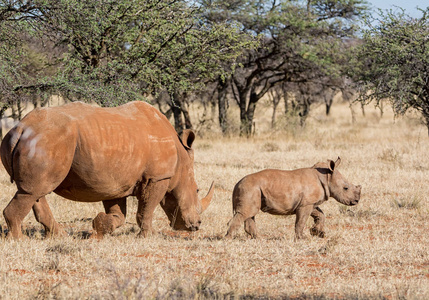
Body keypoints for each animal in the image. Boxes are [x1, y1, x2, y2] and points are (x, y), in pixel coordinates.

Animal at [0, 101, 214, 239]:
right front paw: (148, 236)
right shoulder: (157, 177)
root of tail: (21, 128)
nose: (196, 226)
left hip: (41, 140)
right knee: (33, 191)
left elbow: (119, 214)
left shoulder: (114, 181)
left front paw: (101, 226)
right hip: (47, 139)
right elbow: (147, 209)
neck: (181, 160)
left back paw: (58, 236)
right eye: (197, 190)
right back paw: (18, 240)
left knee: (34, 190)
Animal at [226, 157, 360, 239]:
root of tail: (236, 184)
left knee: (249, 214)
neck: (326, 177)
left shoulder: (310, 203)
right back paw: (228, 239)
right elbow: (301, 221)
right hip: (250, 189)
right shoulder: (305, 204)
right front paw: (302, 238)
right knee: (246, 213)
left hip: (252, 189)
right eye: (346, 188)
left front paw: (318, 233)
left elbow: (320, 214)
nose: (356, 201)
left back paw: (259, 239)